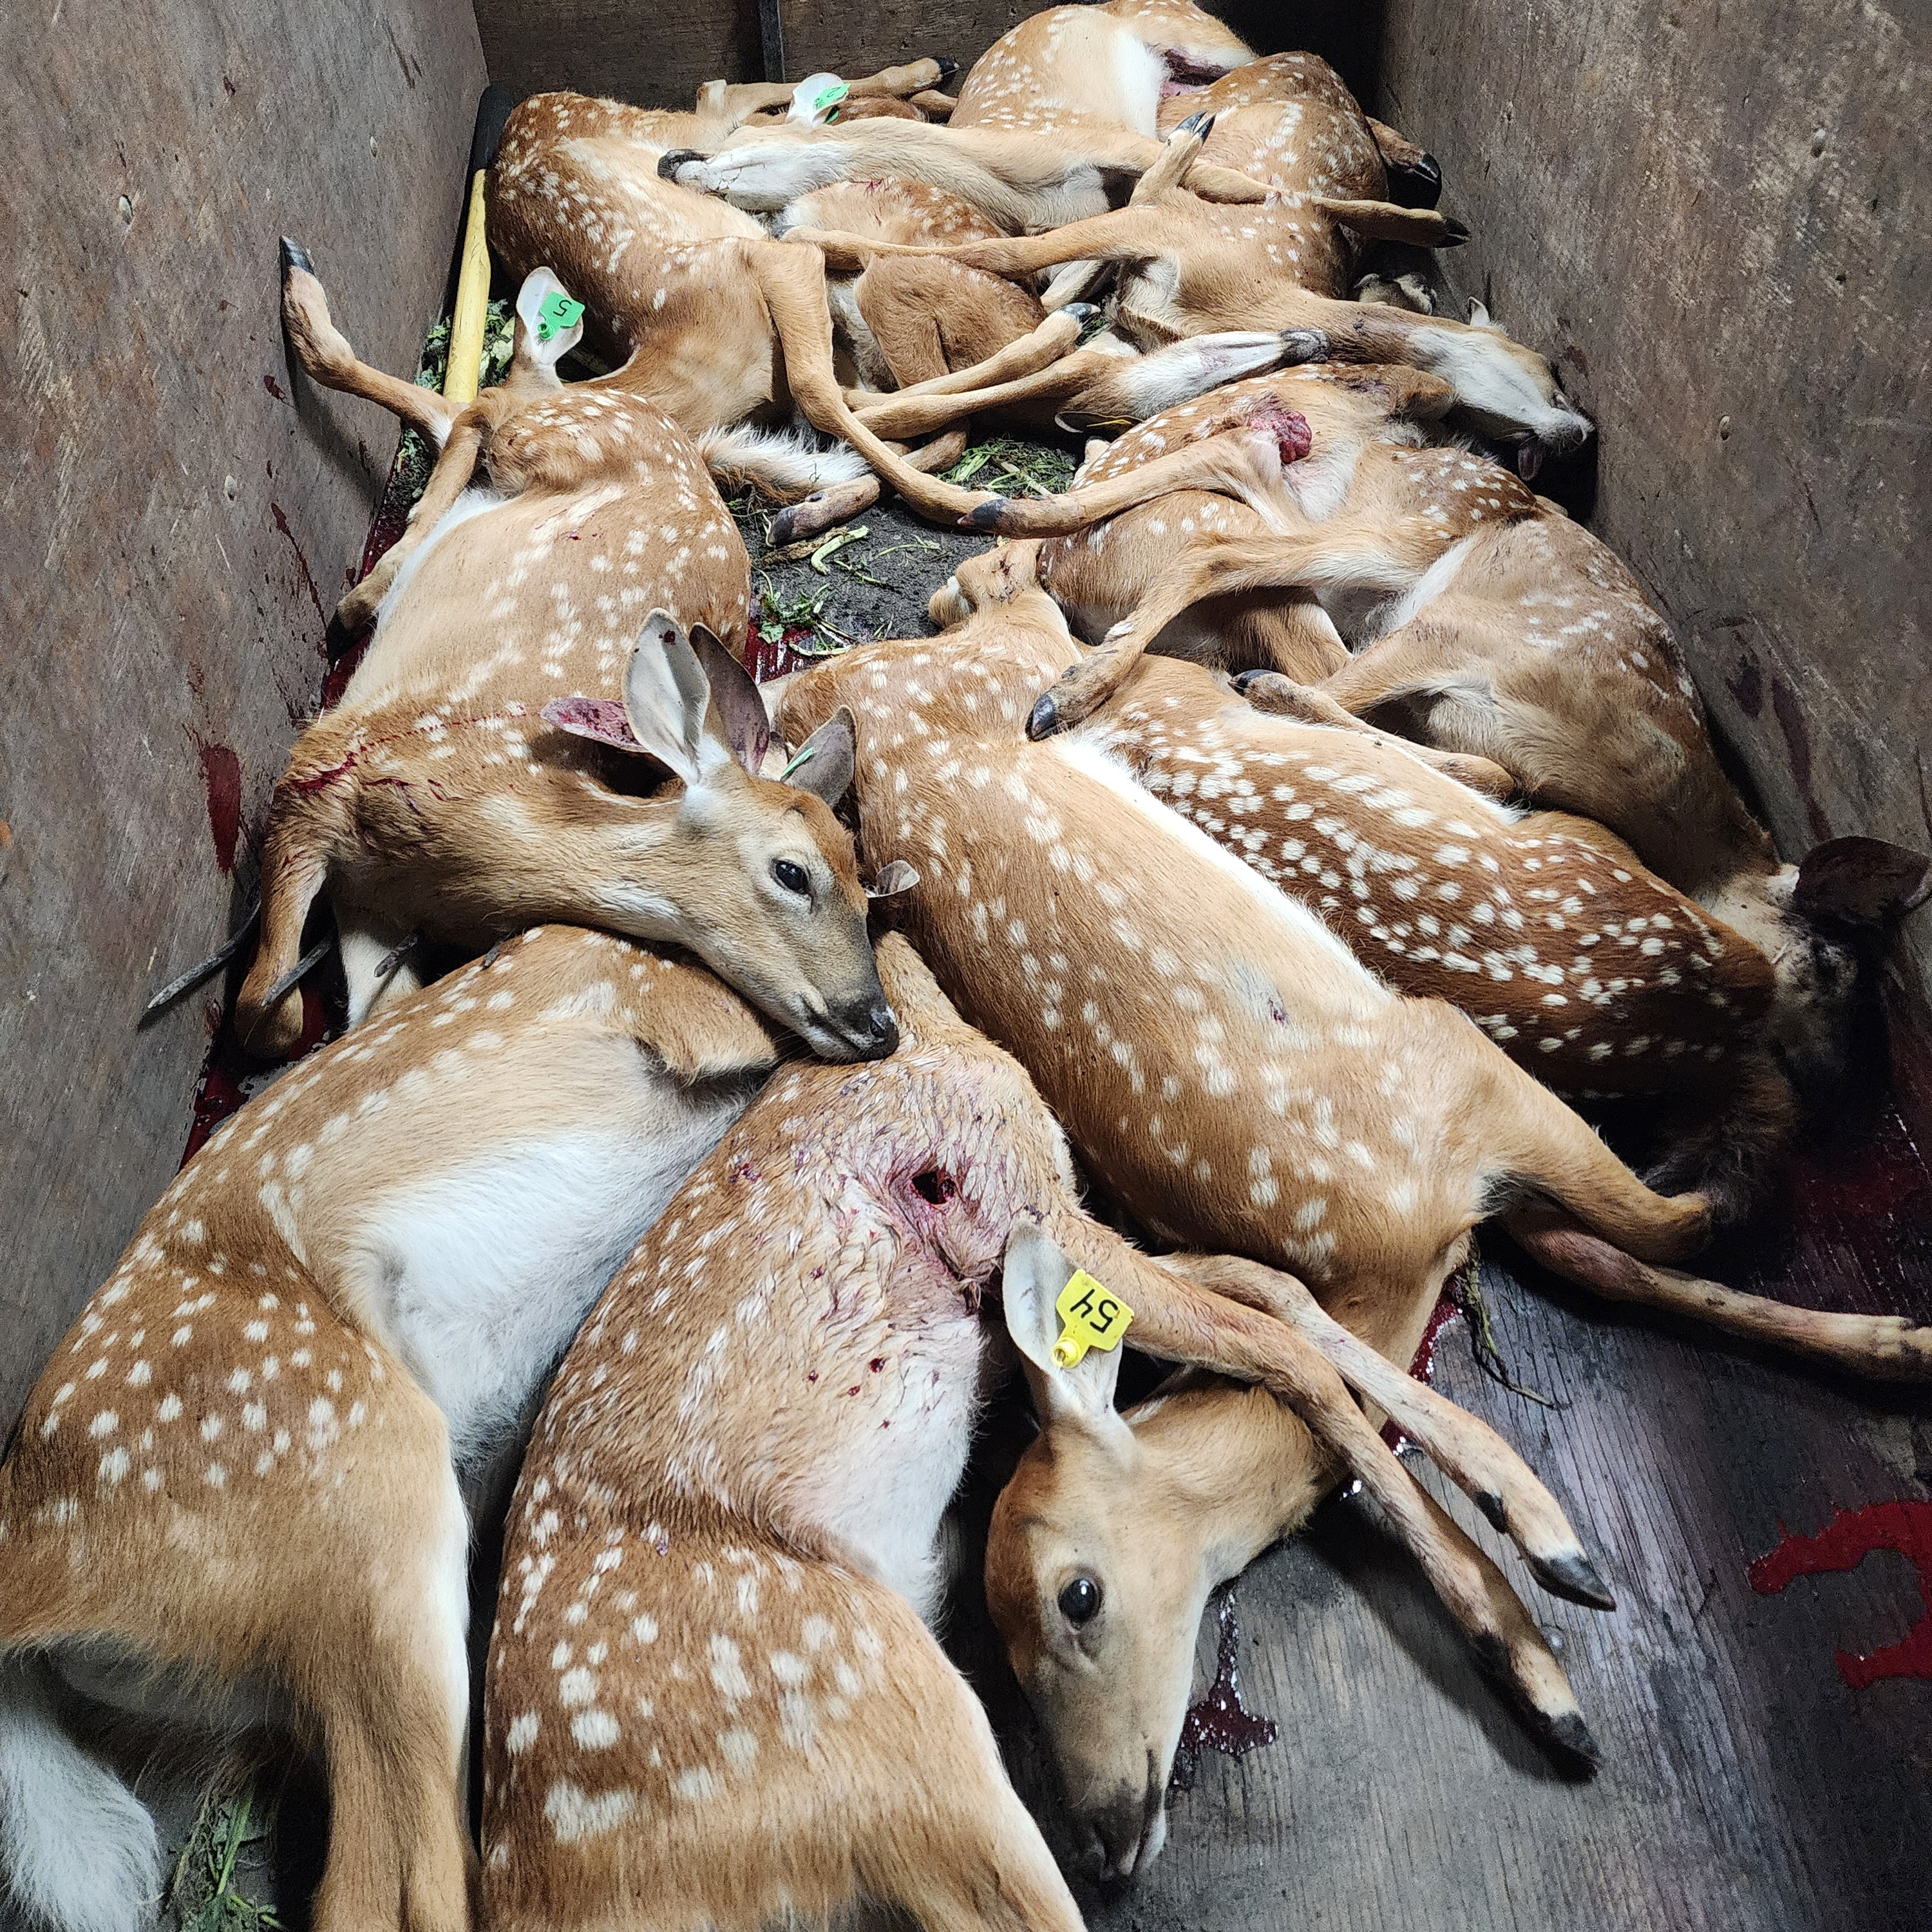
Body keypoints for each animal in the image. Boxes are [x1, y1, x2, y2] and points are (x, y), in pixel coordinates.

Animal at [479, 934, 1609, 1929]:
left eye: (1077, 1599)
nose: (1105, 1845)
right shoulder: (1028, 1207)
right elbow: (1289, 1352)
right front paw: (1544, 1611)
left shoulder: (1059, 1221)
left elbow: (1274, 1298)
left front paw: (1540, 1558)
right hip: (894, 1731)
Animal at [1012, 368, 1932, 1099]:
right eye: (1831, 966)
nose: (1836, 1090)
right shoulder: (1455, 632)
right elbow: (1331, 695)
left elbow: (1477, 770)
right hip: (1402, 539)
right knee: (1225, 545)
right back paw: (1066, 674)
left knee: (1244, 475)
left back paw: (1019, 515)